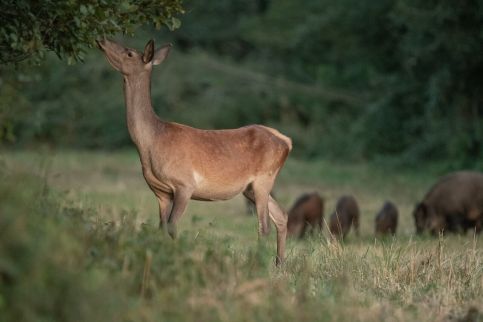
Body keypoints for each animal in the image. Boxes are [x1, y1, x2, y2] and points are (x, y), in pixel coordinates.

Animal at [96, 39, 290, 264]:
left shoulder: (184, 184)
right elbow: (161, 227)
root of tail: (287, 142)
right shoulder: (161, 192)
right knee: (281, 216)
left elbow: (172, 226)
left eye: (129, 53)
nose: (102, 40)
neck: (151, 143)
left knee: (264, 225)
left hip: (263, 178)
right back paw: (279, 265)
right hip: (250, 188)